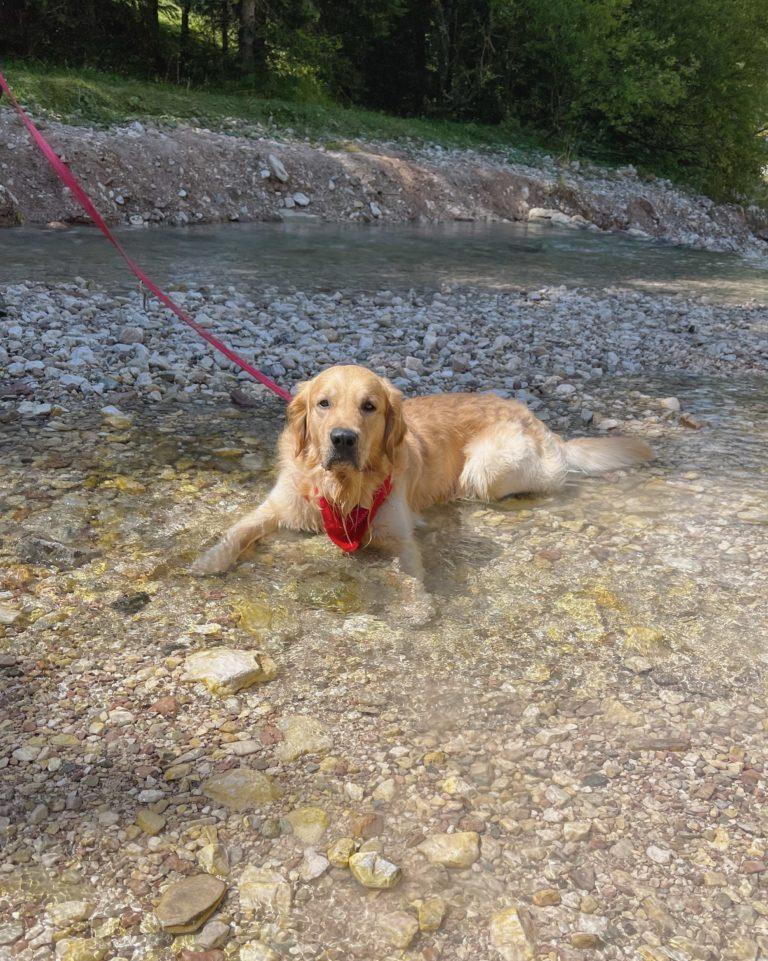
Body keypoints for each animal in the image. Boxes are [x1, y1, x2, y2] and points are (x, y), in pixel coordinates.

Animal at [194, 364, 656, 580]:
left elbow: (410, 572)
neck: (343, 488)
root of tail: (538, 421)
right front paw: (209, 559)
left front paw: (417, 607)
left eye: (369, 406)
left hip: (486, 469)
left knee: (554, 475)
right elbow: (239, 529)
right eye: (324, 403)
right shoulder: (278, 504)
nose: (343, 439)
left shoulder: (396, 528)